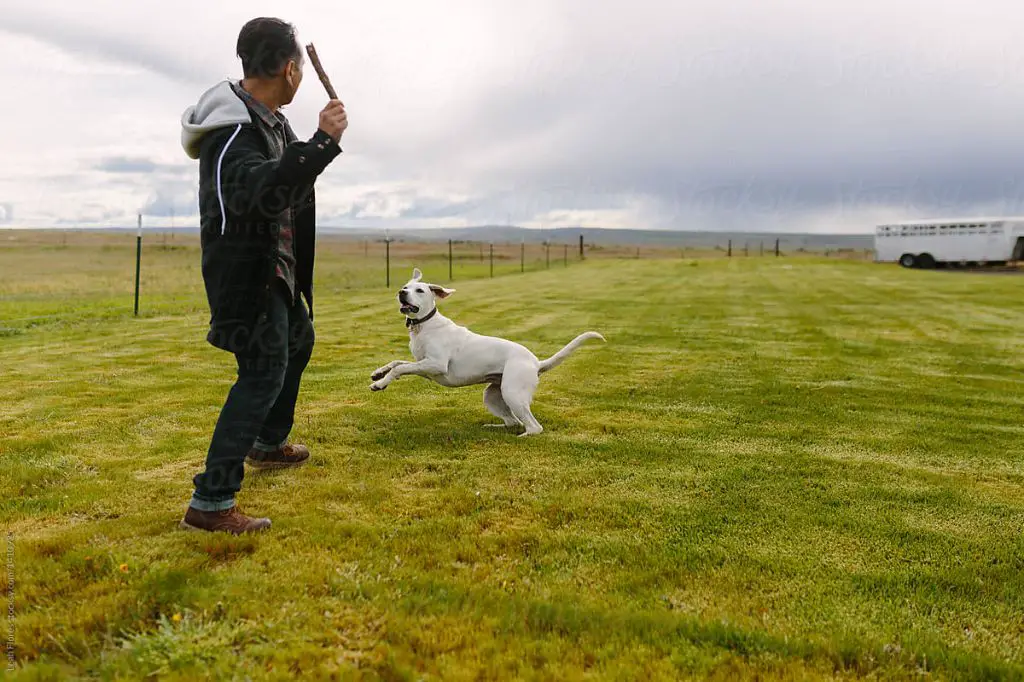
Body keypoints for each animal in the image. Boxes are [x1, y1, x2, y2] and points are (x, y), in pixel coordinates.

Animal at [370, 266, 602, 436]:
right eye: (405, 286)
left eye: (419, 290)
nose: (401, 293)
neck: (424, 326)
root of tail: (536, 363)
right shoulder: (422, 364)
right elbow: (397, 363)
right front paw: (378, 374)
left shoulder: (435, 364)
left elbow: (400, 368)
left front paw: (380, 384)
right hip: (492, 395)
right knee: (512, 421)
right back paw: (494, 428)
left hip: (512, 393)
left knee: (534, 427)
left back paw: (521, 437)